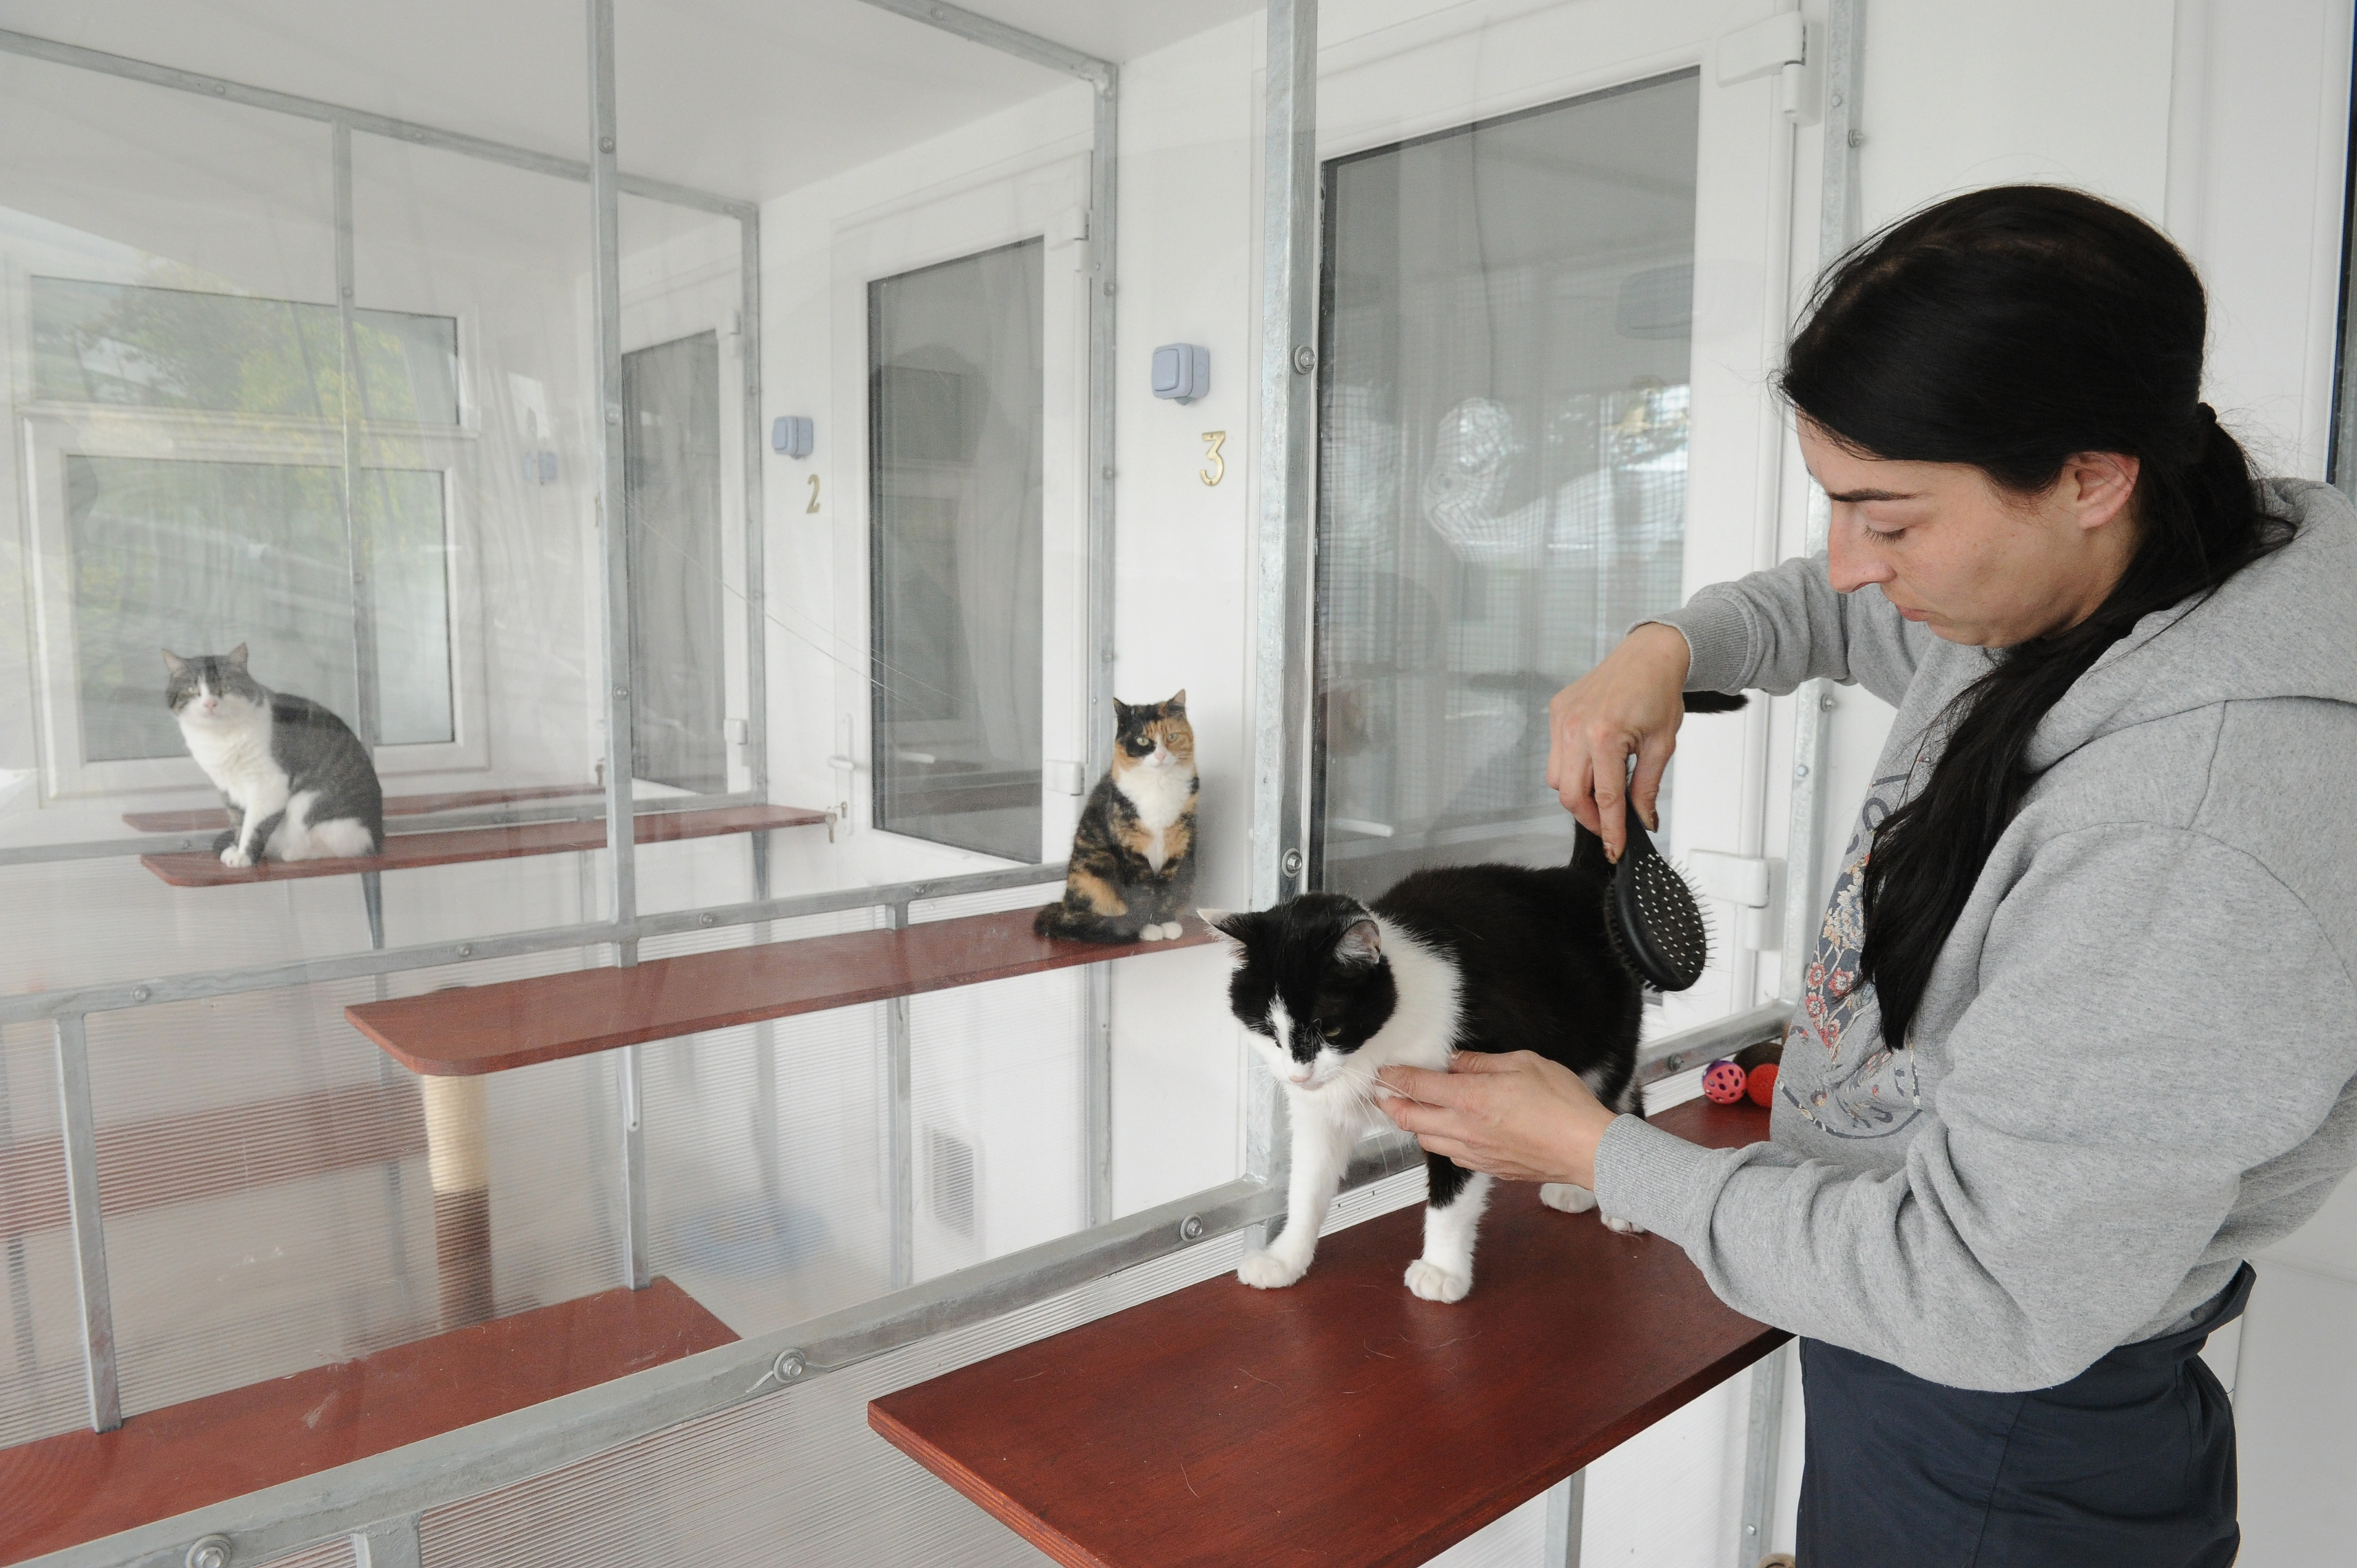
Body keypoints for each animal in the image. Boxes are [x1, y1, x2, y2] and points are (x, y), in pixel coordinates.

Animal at [163, 645, 381, 867]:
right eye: (192, 690)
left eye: (225, 687)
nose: (209, 704)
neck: (219, 737)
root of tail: (377, 838)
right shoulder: (227, 788)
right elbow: (239, 821)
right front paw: (235, 847)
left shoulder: (269, 784)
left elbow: (253, 825)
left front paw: (244, 856)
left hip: (309, 804)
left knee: (343, 847)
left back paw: (295, 852)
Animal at [1037, 698, 1197, 943]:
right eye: (1142, 740)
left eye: (1172, 737)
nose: (1160, 756)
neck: (1159, 786)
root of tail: (1063, 906)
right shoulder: (1131, 851)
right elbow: (1143, 893)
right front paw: (1148, 928)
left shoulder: (1177, 848)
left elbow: (1167, 891)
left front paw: (1167, 923)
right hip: (1093, 873)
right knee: (1075, 922)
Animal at [1206, 825, 1650, 1301]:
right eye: (1269, 1032)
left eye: (1331, 1031)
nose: (1297, 1076)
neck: (1375, 1047)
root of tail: (1578, 879)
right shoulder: (1319, 1113)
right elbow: (1306, 1185)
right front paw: (1285, 1258)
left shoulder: (1468, 1100)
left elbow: (1453, 1193)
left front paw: (1441, 1269)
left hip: (1602, 1043)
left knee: (1619, 1099)